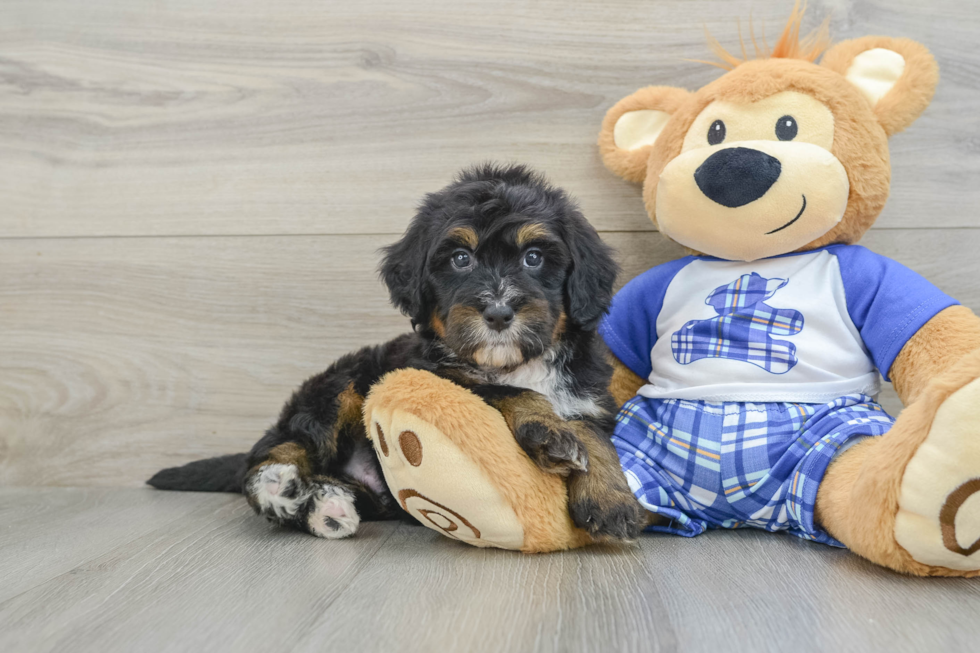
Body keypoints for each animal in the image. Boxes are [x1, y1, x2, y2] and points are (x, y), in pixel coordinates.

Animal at [149, 163, 644, 540]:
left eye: (534, 257)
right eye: (460, 259)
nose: (499, 312)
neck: (514, 363)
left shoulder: (587, 398)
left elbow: (596, 438)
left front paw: (611, 499)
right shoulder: (433, 373)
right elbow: (513, 394)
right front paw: (550, 433)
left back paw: (327, 507)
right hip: (341, 384)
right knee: (280, 446)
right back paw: (278, 486)